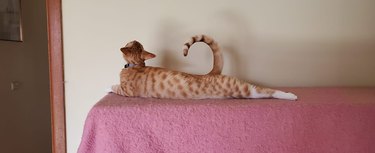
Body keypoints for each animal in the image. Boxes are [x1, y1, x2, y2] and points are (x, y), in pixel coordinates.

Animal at [110, 34, 298, 100]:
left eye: (128, 42)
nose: (130, 39)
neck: (135, 65)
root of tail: (211, 73)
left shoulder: (127, 91)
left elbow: (114, 86)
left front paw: (108, 87)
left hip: (242, 89)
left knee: (265, 90)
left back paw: (290, 96)